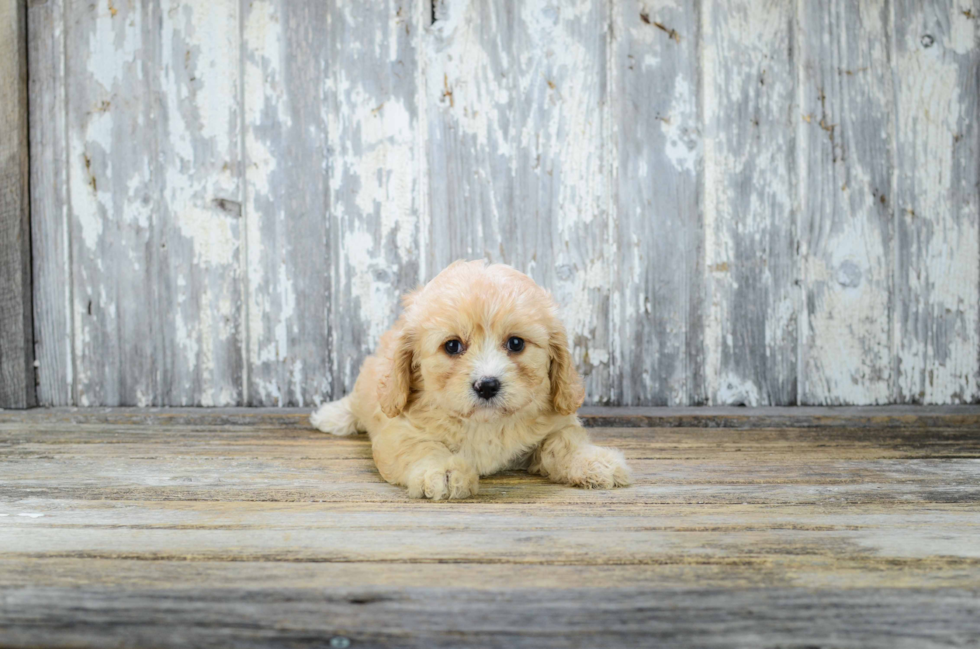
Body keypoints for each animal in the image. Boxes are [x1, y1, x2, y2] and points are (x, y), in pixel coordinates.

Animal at [310, 260, 632, 502]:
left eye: (516, 343)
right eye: (452, 346)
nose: (487, 385)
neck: (484, 424)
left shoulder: (557, 422)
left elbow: (564, 443)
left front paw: (593, 462)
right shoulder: (398, 430)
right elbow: (420, 447)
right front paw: (443, 471)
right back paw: (332, 415)